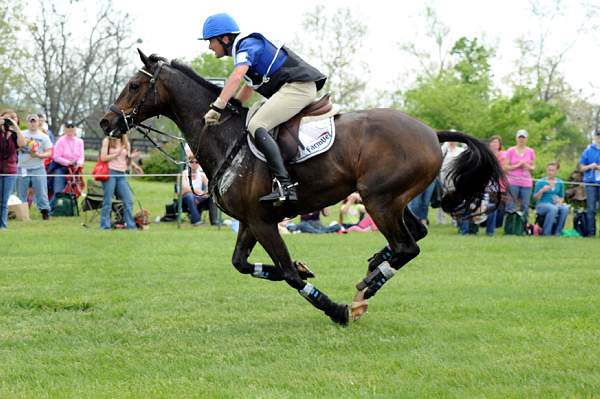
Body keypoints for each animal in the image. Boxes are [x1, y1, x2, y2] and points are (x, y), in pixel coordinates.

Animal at [101, 50, 504, 326]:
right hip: (393, 199)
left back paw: (366, 287)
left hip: (379, 200)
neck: (226, 137)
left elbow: (289, 276)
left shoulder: (262, 222)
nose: (106, 123)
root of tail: (432, 132)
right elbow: (244, 265)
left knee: (408, 245)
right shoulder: (251, 222)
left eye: (134, 85)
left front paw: (336, 309)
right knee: (414, 235)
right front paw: (304, 267)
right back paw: (376, 264)